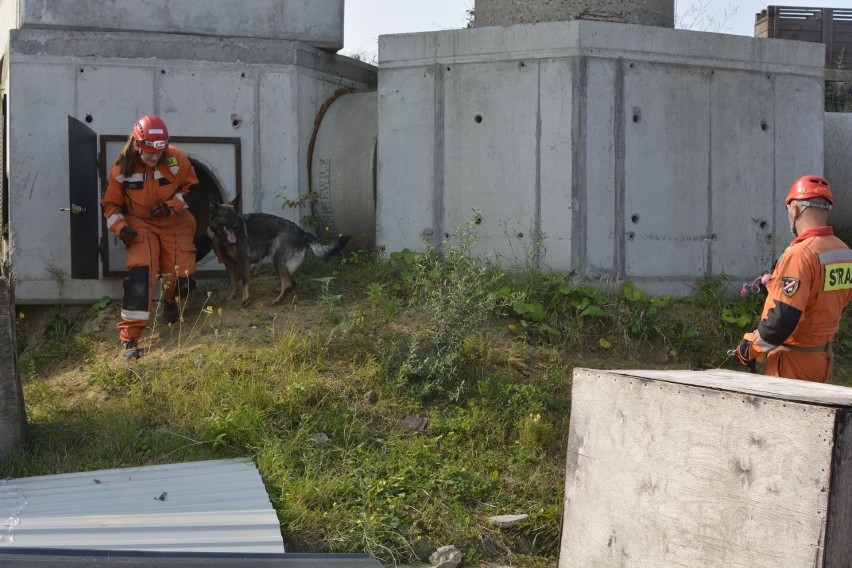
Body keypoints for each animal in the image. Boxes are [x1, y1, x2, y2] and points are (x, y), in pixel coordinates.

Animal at [208, 195, 352, 306]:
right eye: (225, 216)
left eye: (235, 216)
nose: (236, 227)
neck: (224, 238)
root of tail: (302, 233)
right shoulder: (229, 263)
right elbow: (233, 282)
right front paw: (231, 296)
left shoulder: (244, 262)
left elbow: (244, 282)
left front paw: (246, 300)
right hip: (285, 264)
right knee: (292, 282)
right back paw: (280, 292)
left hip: (277, 260)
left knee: (288, 283)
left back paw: (276, 301)